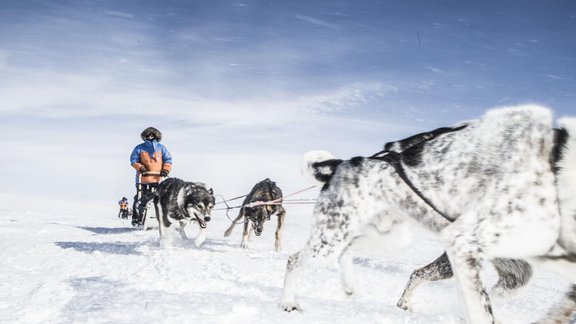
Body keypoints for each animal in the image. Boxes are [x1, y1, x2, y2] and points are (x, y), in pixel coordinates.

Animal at [282, 105, 576, 322]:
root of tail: (341, 164)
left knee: (348, 250)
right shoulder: (463, 245)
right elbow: (482, 310)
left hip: (390, 238)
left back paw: (350, 287)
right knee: (295, 261)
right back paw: (288, 303)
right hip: (329, 240)